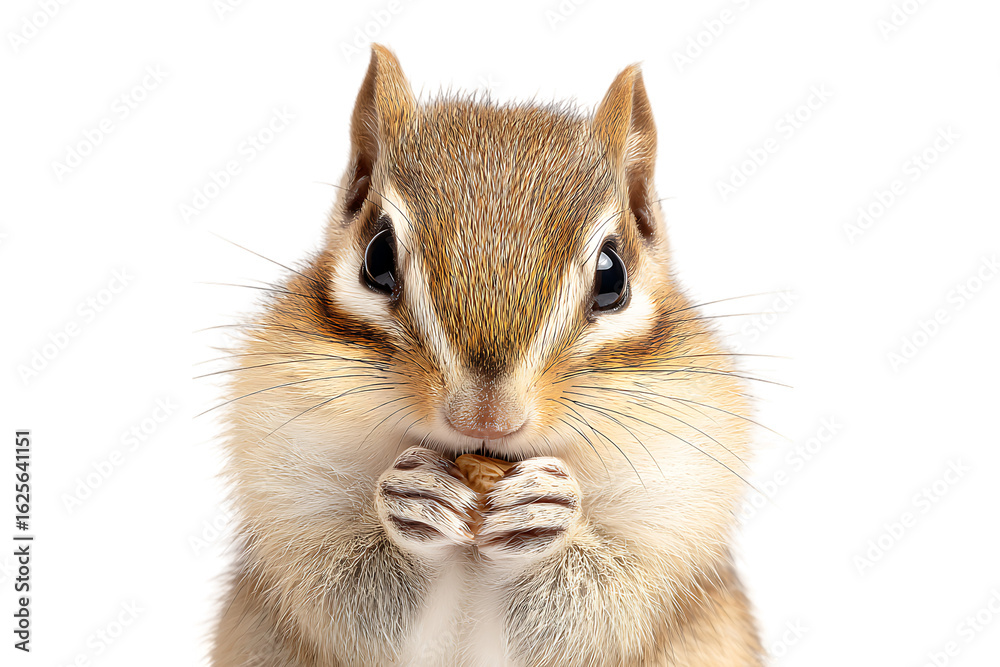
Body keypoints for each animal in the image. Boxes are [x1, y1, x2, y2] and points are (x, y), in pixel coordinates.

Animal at [210, 44, 763, 666]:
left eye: (612, 274)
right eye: (377, 257)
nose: (485, 418)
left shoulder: (674, 517)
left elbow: (601, 600)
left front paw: (547, 513)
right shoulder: (289, 498)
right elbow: (347, 593)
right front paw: (413, 498)